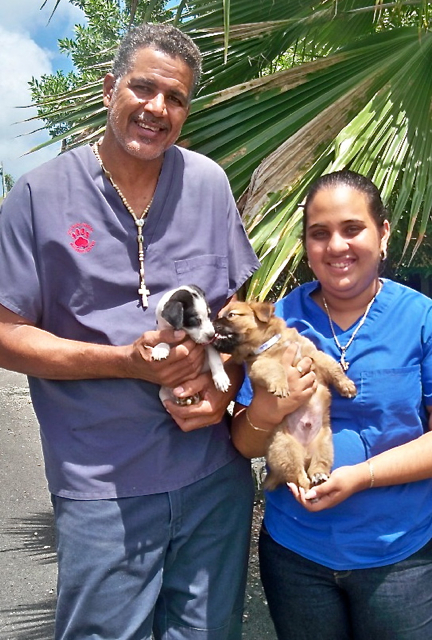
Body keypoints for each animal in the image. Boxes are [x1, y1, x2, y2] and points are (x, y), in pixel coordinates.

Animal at [213, 300, 358, 490]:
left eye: (231, 315)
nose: (212, 323)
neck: (272, 345)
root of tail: (305, 452)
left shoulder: (314, 355)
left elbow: (333, 366)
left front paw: (346, 385)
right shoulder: (260, 365)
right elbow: (276, 368)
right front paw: (281, 385)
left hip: (324, 445)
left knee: (318, 466)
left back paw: (319, 476)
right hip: (285, 448)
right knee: (299, 478)